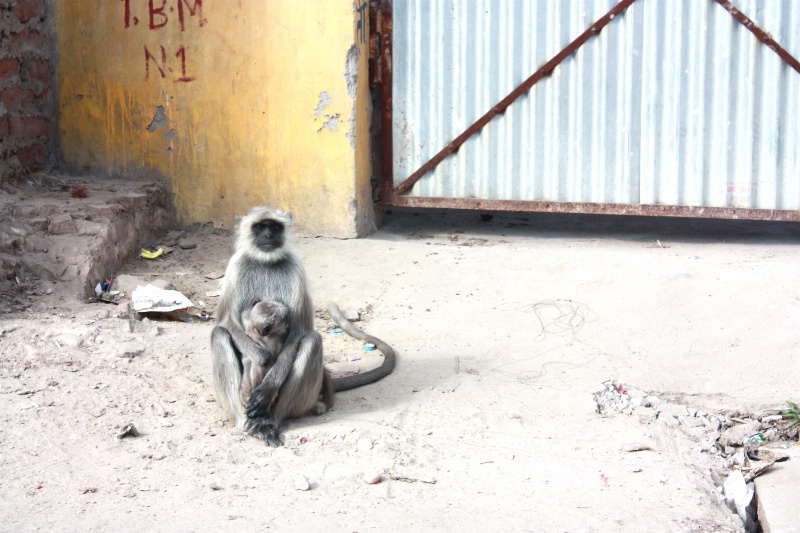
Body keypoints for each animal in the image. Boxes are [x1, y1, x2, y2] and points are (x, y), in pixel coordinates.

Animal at [209, 206, 396, 446]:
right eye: (259, 226)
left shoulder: (295, 269)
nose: (268, 235)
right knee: (219, 334)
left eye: (275, 226)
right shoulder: (235, 267)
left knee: (312, 340)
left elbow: (299, 332)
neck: (266, 261)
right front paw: (260, 358)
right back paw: (248, 423)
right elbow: (226, 322)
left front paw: (266, 388)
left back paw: (271, 421)